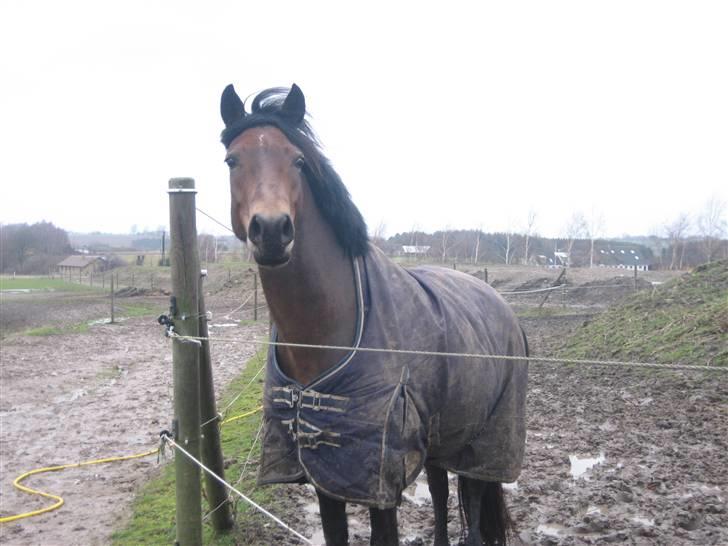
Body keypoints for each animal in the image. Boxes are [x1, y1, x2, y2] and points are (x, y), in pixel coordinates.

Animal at [219, 83, 528, 540]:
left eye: (298, 160)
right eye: (231, 160)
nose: (272, 230)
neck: (325, 334)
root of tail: (499, 303)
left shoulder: (379, 481)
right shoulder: (325, 474)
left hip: (485, 443)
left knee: (473, 513)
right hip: (444, 440)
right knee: (440, 497)